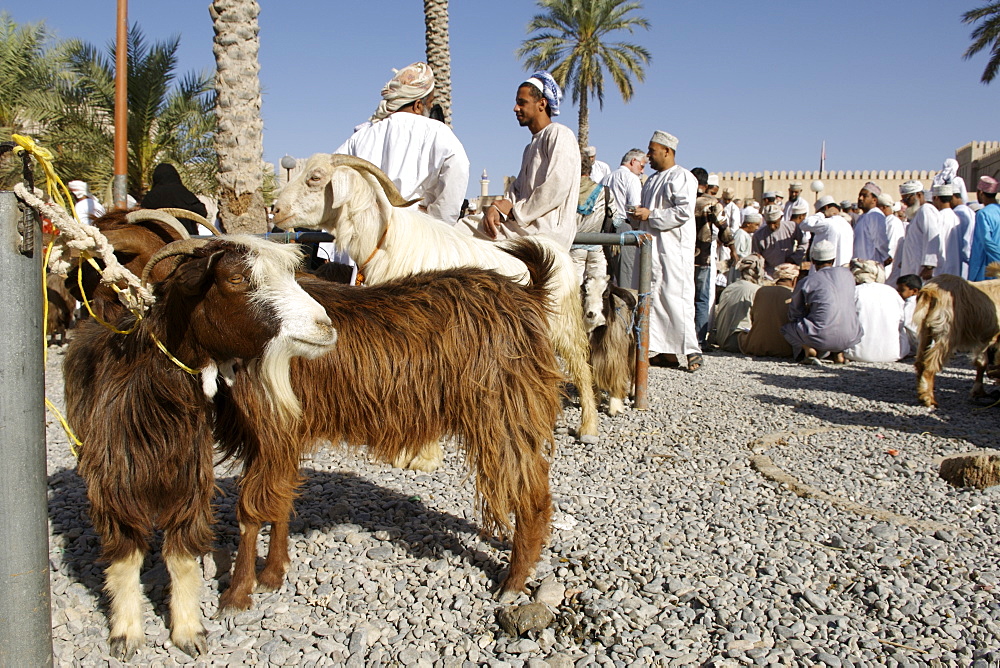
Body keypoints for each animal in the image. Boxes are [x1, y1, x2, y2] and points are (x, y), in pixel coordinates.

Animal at [62, 235, 336, 656]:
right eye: (236, 278)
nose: (325, 327)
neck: (154, 404)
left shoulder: (191, 481)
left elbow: (182, 556)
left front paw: (190, 632)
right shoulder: (114, 483)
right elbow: (124, 558)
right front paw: (126, 634)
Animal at [213, 239, 564, 616]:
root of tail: (527, 294)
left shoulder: (270, 428)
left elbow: (250, 512)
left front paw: (236, 595)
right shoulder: (281, 436)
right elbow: (279, 499)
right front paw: (272, 575)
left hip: (504, 414)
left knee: (531, 495)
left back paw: (513, 582)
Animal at [274, 153, 596, 464]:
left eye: (315, 178)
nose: (276, 210)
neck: (387, 239)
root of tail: (558, 252)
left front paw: (424, 457)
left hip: (562, 323)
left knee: (581, 365)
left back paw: (587, 427)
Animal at [584, 274, 636, 414]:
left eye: (606, 293)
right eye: (585, 291)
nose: (591, 314)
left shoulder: (615, 356)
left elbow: (616, 376)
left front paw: (615, 407)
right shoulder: (591, 358)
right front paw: (595, 402)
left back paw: (633, 393)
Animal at [916, 268, 1000, 404]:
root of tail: (931, 290)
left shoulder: (984, 339)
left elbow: (981, 363)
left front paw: (978, 392)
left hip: (925, 331)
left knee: (919, 361)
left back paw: (921, 392)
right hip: (947, 334)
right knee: (930, 364)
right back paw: (929, 398)